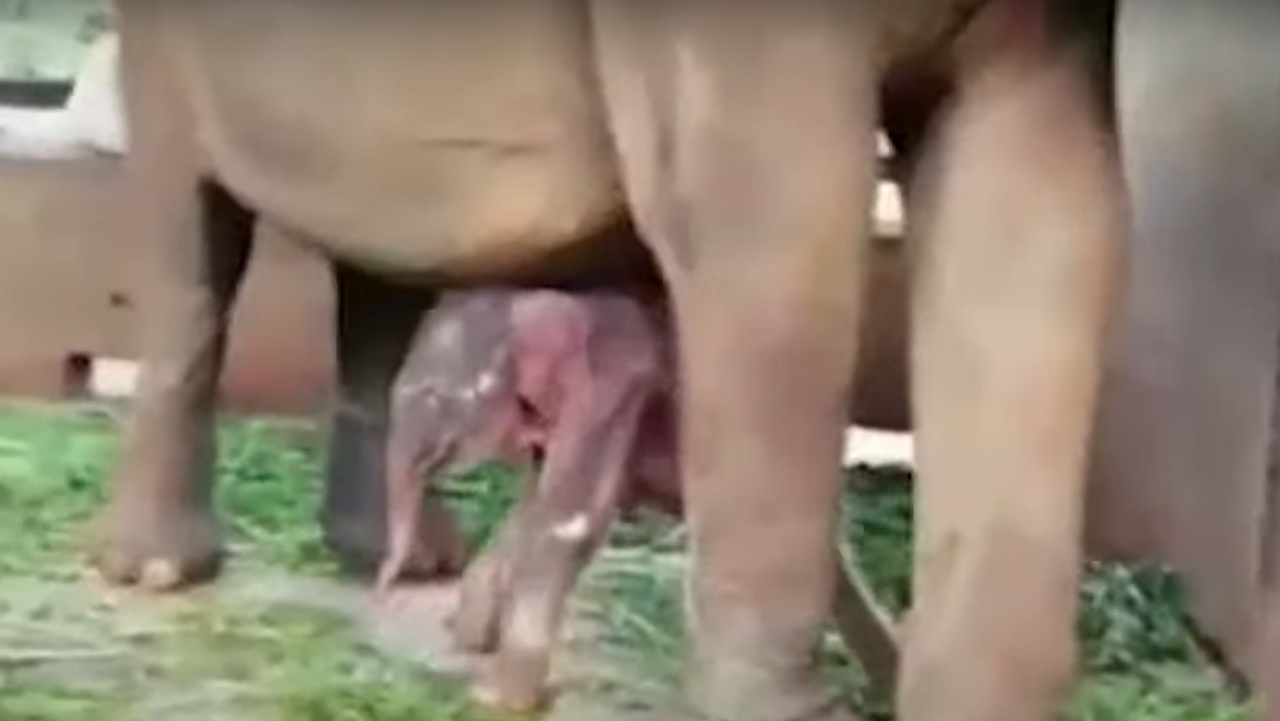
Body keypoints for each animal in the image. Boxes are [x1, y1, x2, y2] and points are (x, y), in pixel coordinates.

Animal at [378, 288, 901, 717]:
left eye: (434, 394)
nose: (384, 588)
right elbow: (536, 504)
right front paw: (469, 635)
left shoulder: (613, 389)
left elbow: (570, 517)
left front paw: (494, 700)